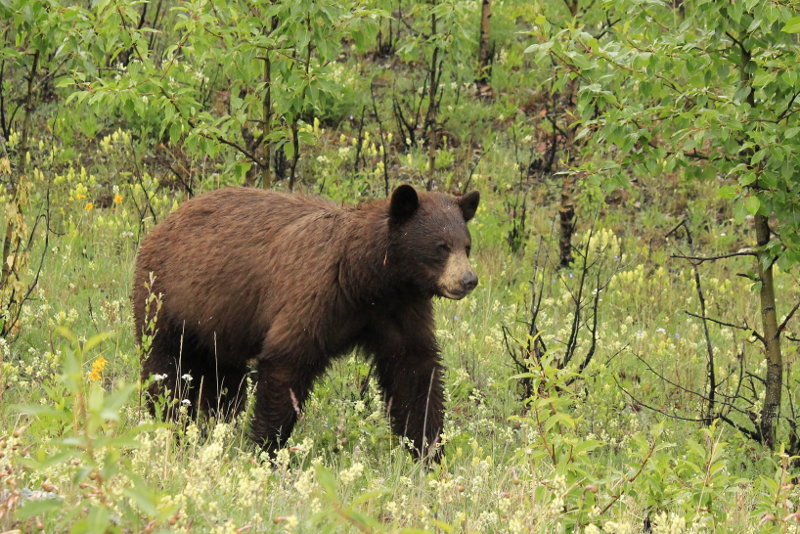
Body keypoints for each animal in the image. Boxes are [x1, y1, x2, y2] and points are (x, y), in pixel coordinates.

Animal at [134, 184, 478, 460]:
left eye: (466, 246)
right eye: (441, 247)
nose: (468, 280)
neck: (366, 280)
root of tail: (166, 220)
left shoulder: (399, 311)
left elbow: (415, 373)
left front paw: (429, 451)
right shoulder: (315, 296)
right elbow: (287, 361)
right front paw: (267, 448)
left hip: (222, 325)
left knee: (225, 380)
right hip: (168, 303)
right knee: (166, 367)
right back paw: (171, 422)